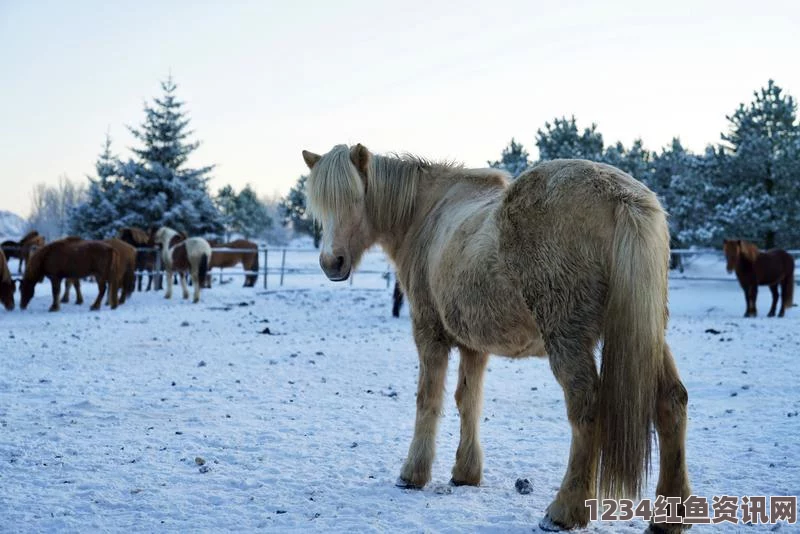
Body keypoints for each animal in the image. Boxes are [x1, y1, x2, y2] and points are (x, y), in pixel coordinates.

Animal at [300, 144, 688, 532]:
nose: (331, 262)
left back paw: (564, 510)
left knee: (586, 408)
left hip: (568, 339)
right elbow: (468, 400)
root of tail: (622, 197)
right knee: (671, 402)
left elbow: (428, 400)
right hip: (646, 334)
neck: (427, 214)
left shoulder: (429, 333)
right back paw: (669, 517)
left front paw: (412, 474)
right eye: (320, 206)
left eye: (354, 199)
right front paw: (465, 473)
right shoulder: (474, 344)